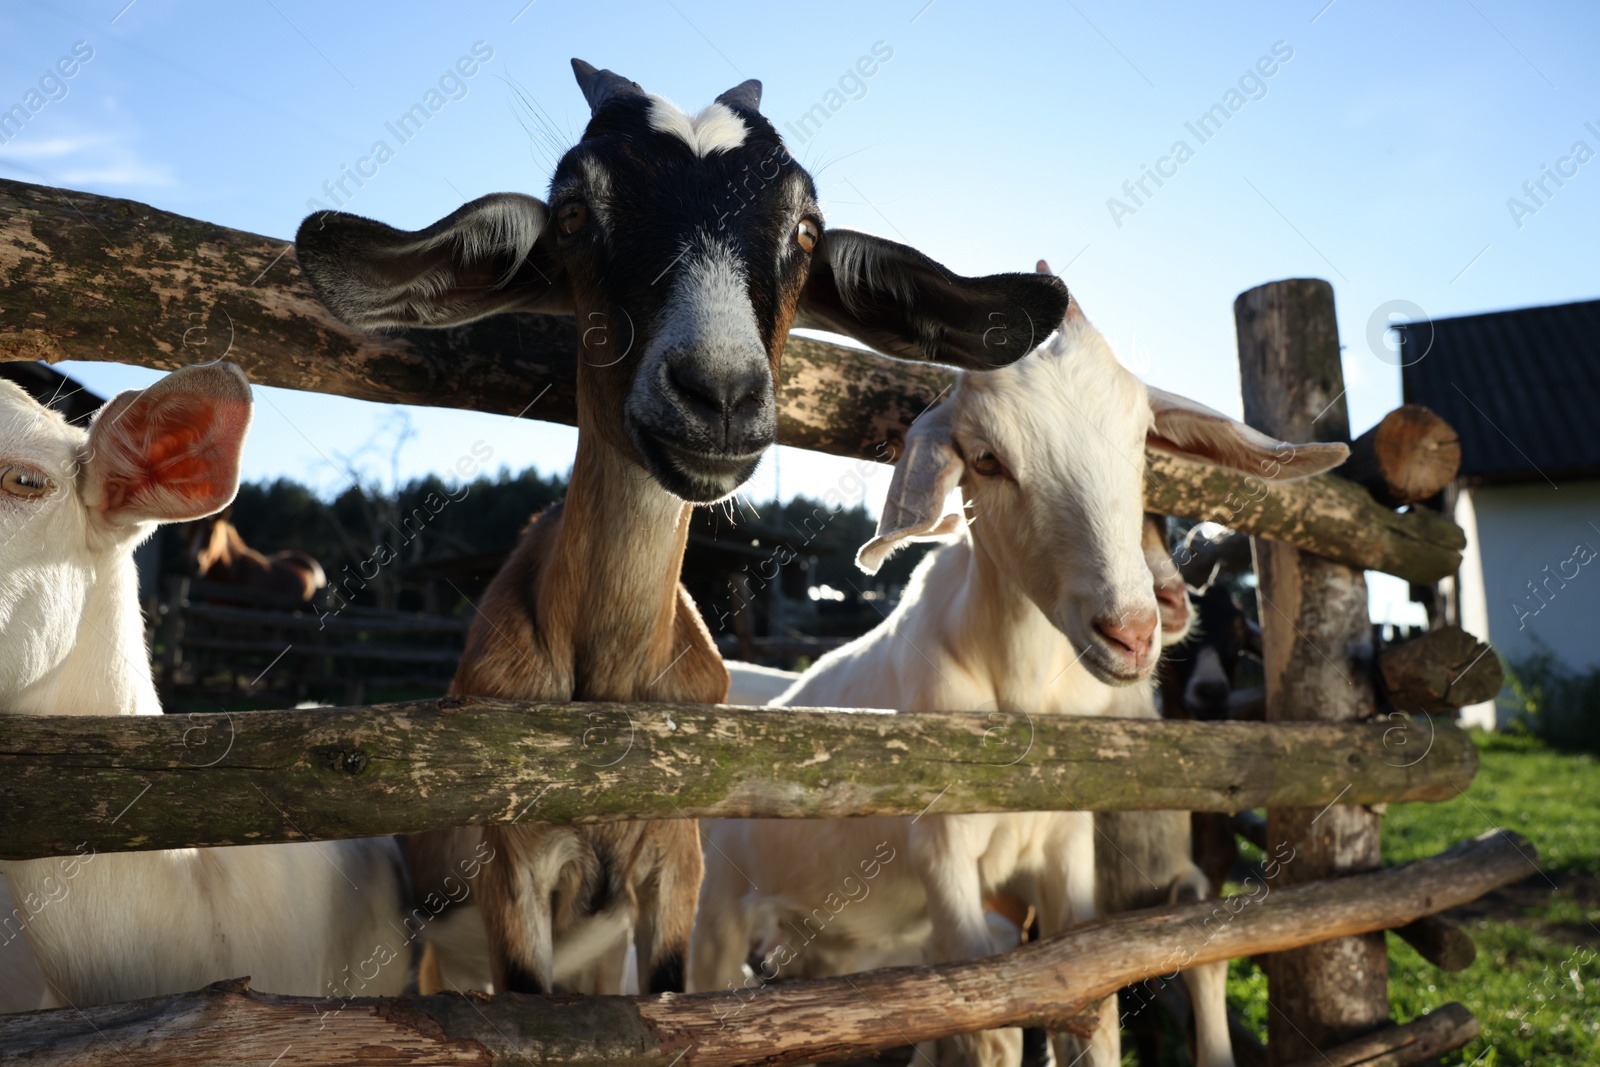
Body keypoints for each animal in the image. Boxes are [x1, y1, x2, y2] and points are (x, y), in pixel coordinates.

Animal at [294, 54, 1068, 998]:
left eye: (806, 230)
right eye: (575, 214)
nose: (719, 394)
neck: (608, 689)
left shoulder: (674, 864)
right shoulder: (513, 871)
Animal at [694, 294, 1344, 1067]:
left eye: (1139, 443)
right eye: (987, 459)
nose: (1131, 631)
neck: (1021, 691)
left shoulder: (1064, 848)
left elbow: (1089, 1002)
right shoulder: (944, 855)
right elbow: (992, 1029)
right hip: (714, 908)